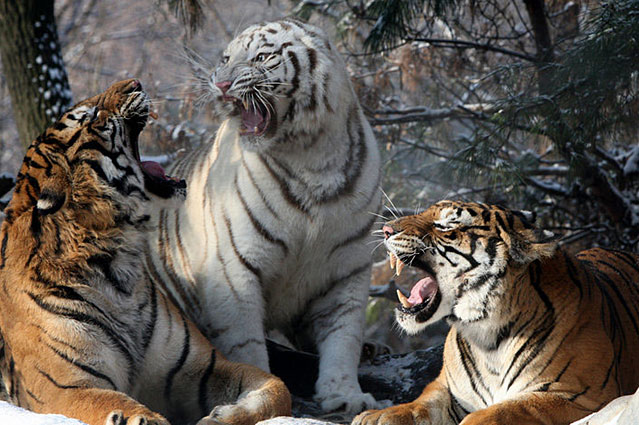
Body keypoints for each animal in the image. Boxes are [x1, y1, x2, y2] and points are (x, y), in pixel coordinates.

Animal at [0, 79, 291, 425]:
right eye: (90, 115)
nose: (135, 83)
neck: (116, 262)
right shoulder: (63, 387)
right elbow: (106, 400)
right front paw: (139, 418)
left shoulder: (203, 367)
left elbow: (278, 387)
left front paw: (222, 416)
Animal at [144, 18, 382, 414]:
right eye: (225, 59)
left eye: (260, 57)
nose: (221, 84)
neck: (312, 157)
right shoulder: (233, 267)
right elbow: (246, 343)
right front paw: (256, 388)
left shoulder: (345, 269)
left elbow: (343, 336)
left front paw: (344, 395)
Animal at [353, 200, 639, 425]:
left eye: (446, 226)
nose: (386, 229)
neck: (486, 337)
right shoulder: (448, 389)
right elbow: (420, 404)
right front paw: (376, 416)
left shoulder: (580, 397)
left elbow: (505, 410)